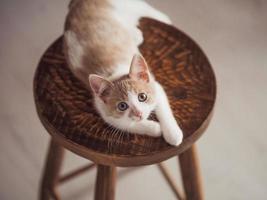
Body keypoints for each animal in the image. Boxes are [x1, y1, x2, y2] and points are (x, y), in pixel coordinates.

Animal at [64, 0, 184, 147]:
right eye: (122, 106)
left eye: (142, 97)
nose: (138, 113)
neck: (115, 74)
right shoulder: (103, 109)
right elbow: (124, 124)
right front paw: (153, 128)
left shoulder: (155, 85)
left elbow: (163, 108)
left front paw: (173, 134)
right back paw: (136, 33)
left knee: (145, 8)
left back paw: (164, 19)